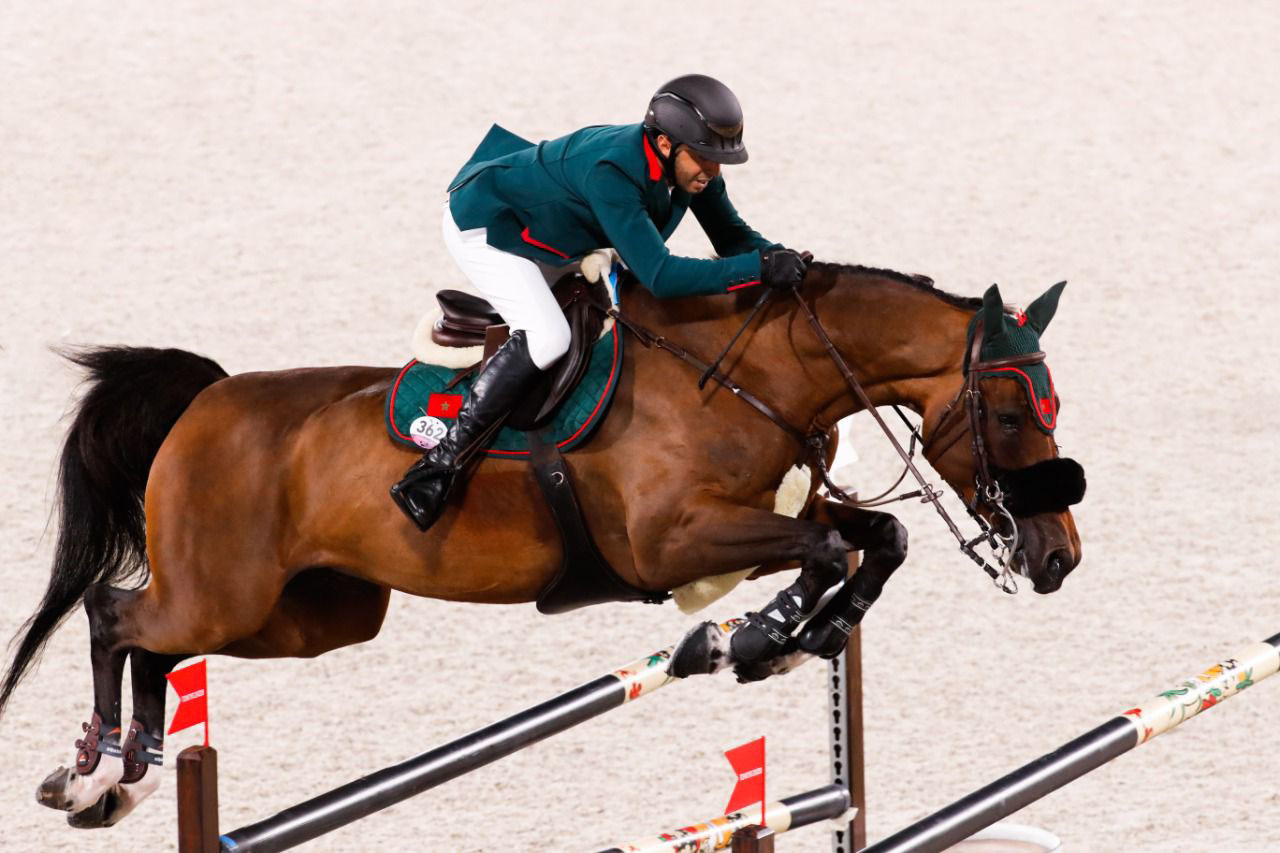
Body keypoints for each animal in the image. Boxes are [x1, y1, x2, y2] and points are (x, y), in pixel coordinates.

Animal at [0, 262, 1083, 830]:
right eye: (1007, 411)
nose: (1058, 557)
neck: (748, 377)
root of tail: (207, 400)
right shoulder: (669, 544)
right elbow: (821, 547)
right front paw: (752, 640)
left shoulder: (763, 516)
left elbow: (873, 537)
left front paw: (786, 636)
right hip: (225, 590)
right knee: (115, 616)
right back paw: (90, 772)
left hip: (311, 615)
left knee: (156, 643)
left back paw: (127, 775)